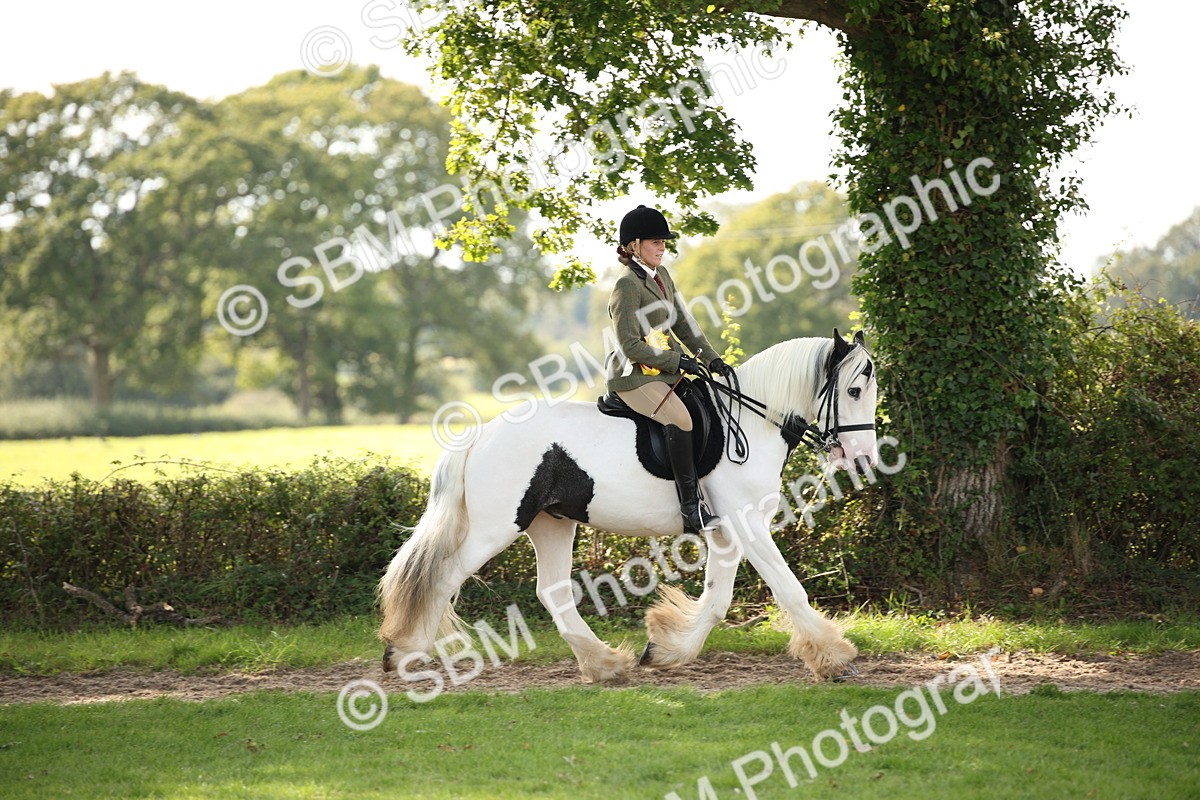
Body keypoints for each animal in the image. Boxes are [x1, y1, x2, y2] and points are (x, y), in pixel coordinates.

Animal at [379, 328, 879, 684]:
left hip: (551, 524)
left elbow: (718, 599)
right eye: (854, 391)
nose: (864, 460)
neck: (752, 423)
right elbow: (789, 589)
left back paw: (604, 664)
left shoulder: (727, 530)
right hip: (497, 526)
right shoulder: (746, 524)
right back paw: (404, 653)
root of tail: (482, 433)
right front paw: (836, 659)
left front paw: (665, 651)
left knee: (553, 592)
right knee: (443, 576)